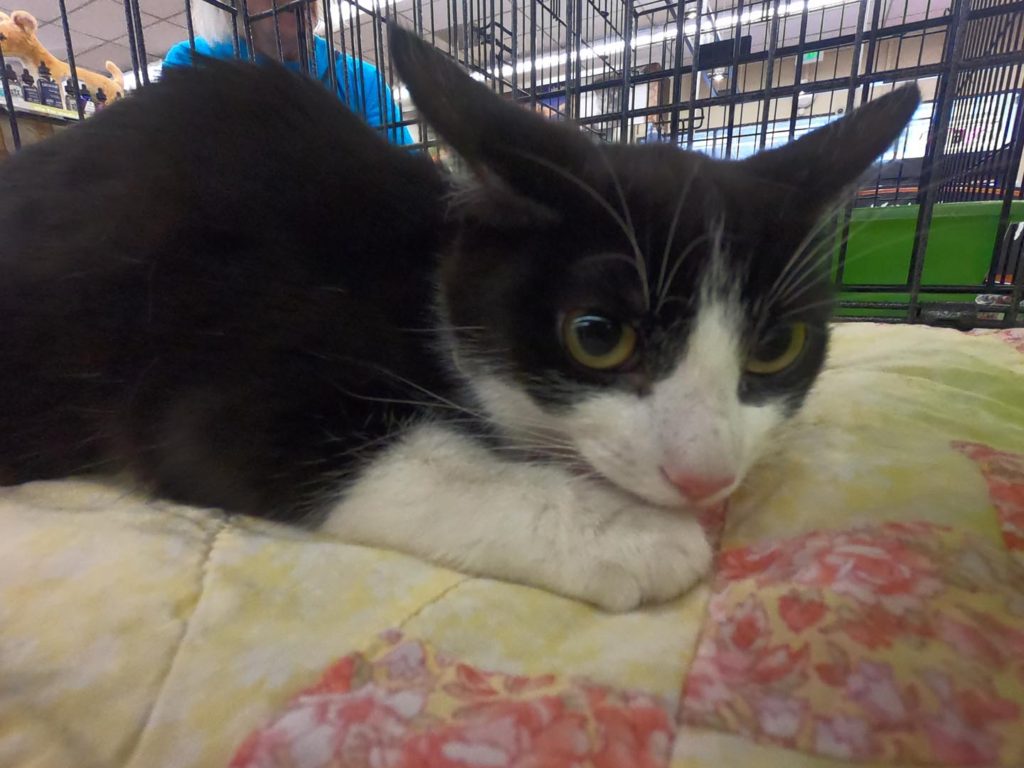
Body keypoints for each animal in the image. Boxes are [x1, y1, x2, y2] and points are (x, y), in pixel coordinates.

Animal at [0, 25, 913, 614]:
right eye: (597, 336)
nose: (706, 478)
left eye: (776, 348)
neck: (415, 278)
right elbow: (387, 458)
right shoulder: (206, 359)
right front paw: (622, 532)